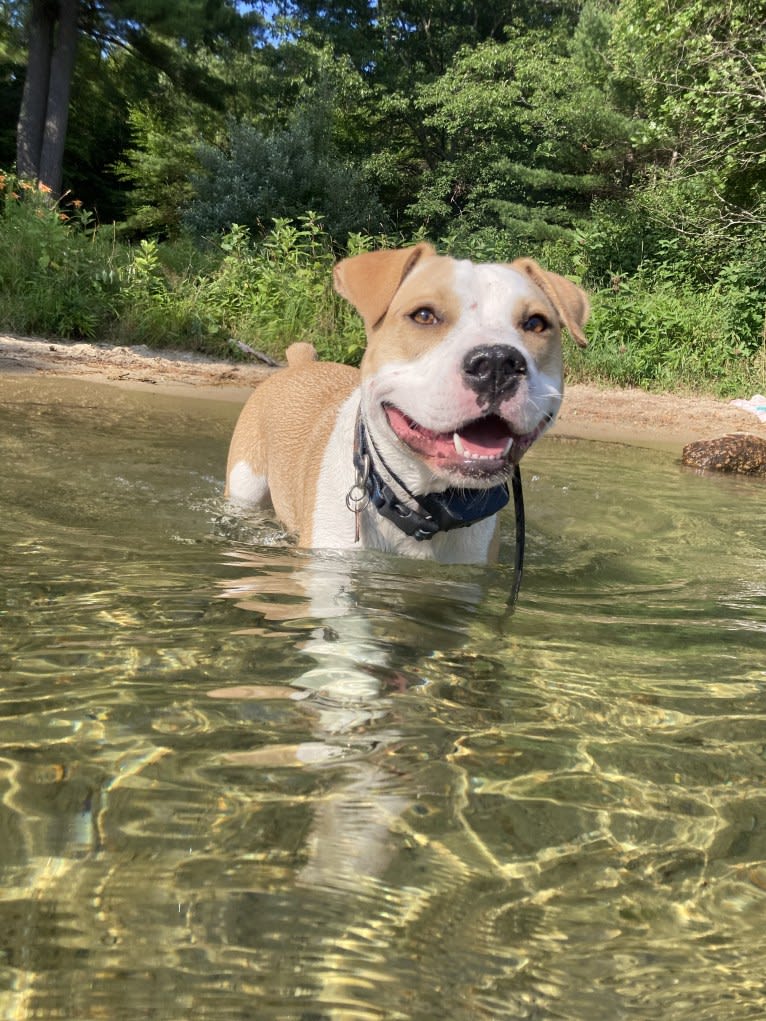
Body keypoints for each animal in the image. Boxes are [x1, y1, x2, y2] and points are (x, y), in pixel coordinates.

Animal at [224, 245, 592, 567]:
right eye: (424, 315)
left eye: (536, 323)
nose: (497, 362)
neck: (421, 507)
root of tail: (301, 362)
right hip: (244, 484)